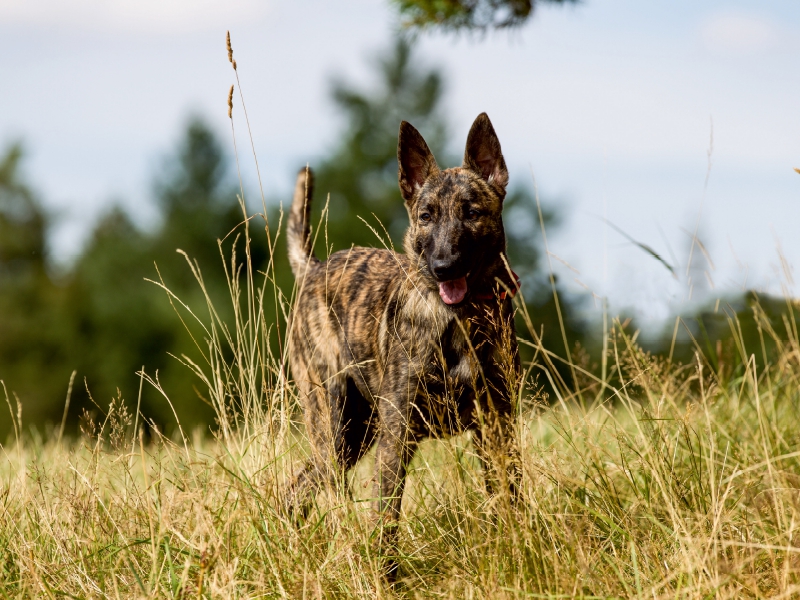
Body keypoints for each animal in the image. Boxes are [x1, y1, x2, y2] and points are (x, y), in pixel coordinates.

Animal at [284, 113, 520, 536]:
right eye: (426, 216)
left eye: (472, 213)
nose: (444, 267)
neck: (459, 321)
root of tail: (314, 268)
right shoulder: (397, 432)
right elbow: (385, 520)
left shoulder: (497, 424)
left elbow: (508, 498)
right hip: (333, 420)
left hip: (355, 433)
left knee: (299, 486)